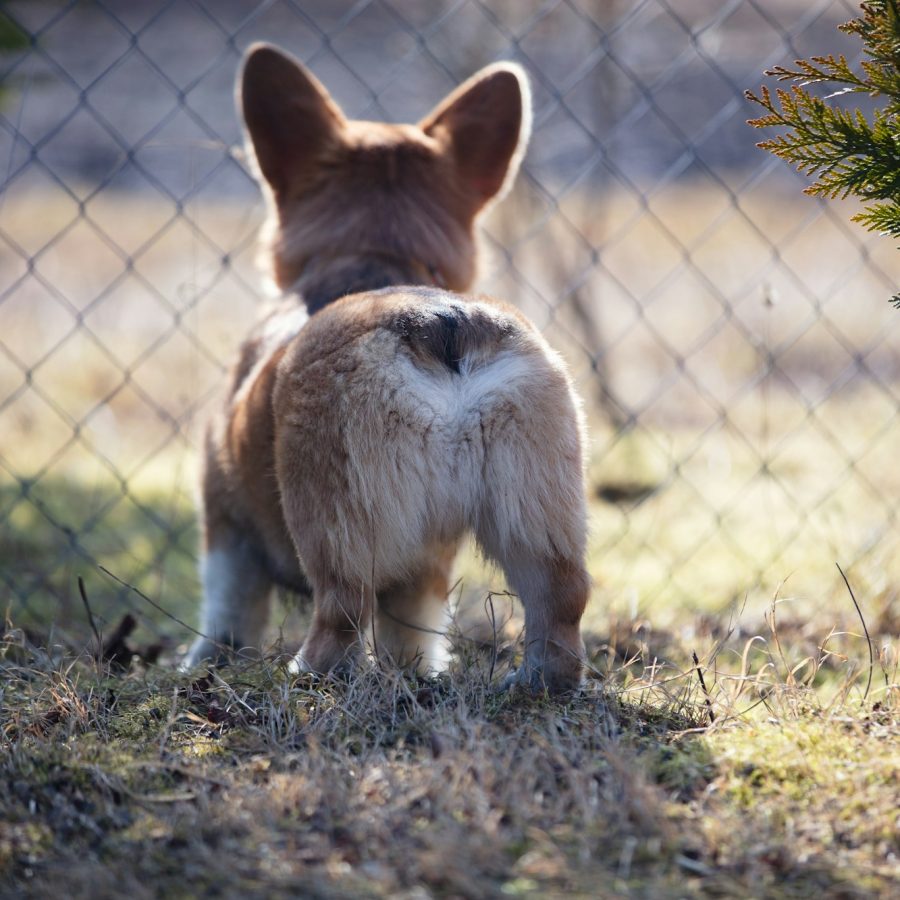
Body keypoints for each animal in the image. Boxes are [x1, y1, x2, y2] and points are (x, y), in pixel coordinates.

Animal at [183, 44, 592, 696]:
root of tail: (443, 323)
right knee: (561, 600)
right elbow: (413, 631)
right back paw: (535, 682)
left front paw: (203, 663)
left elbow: (226, 610)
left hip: (335, 520)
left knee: (343, 612)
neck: (374, 255)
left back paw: (307, 675)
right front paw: (419, 675)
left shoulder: (225, 522)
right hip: (537, 509)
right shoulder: (428, 563)